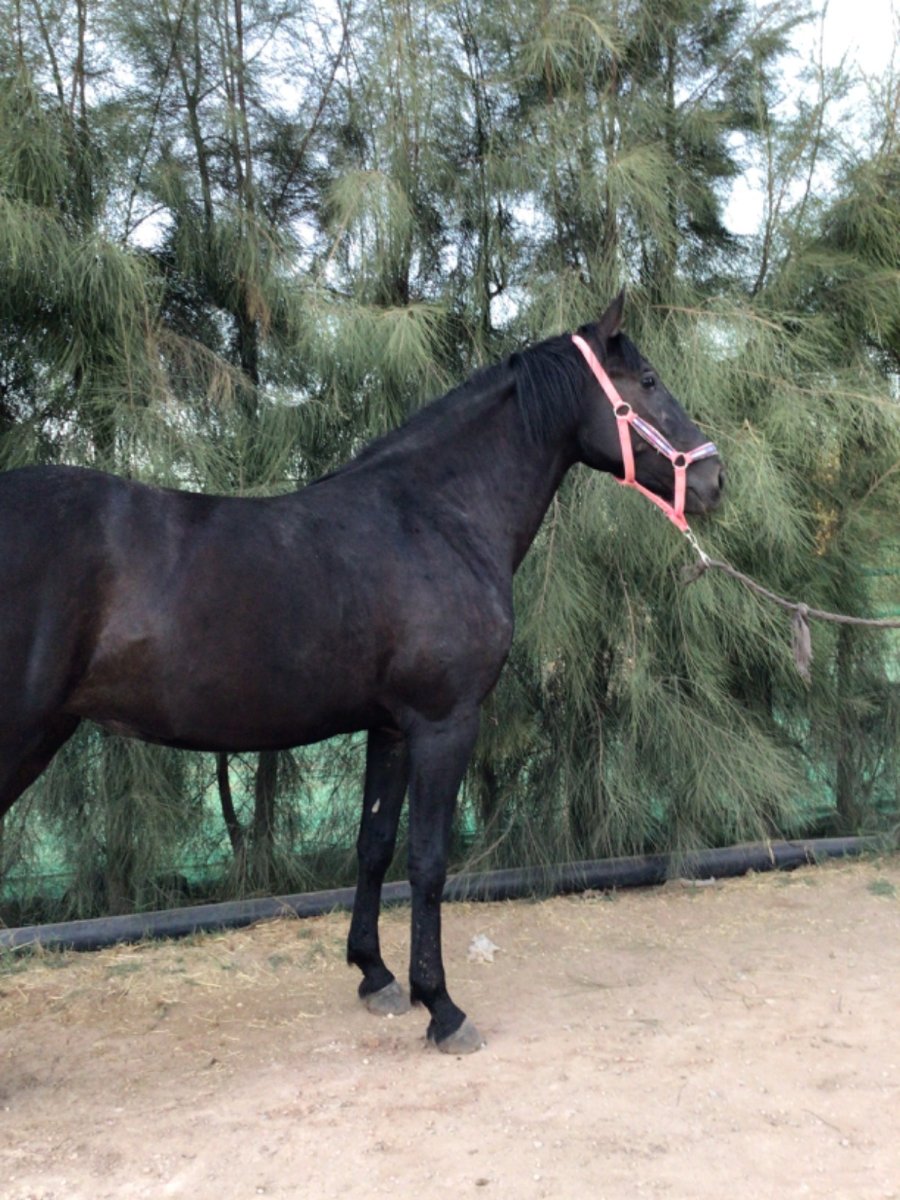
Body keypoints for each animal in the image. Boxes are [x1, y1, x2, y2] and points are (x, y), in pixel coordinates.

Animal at [0, 292, 723, 1053]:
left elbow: (374, 845)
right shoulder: (444, 724)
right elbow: (428, 860)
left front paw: (375, 975)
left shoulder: (393, 728)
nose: (714, 479)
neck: (436, 517)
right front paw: (442, 1007)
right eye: (648, 381)